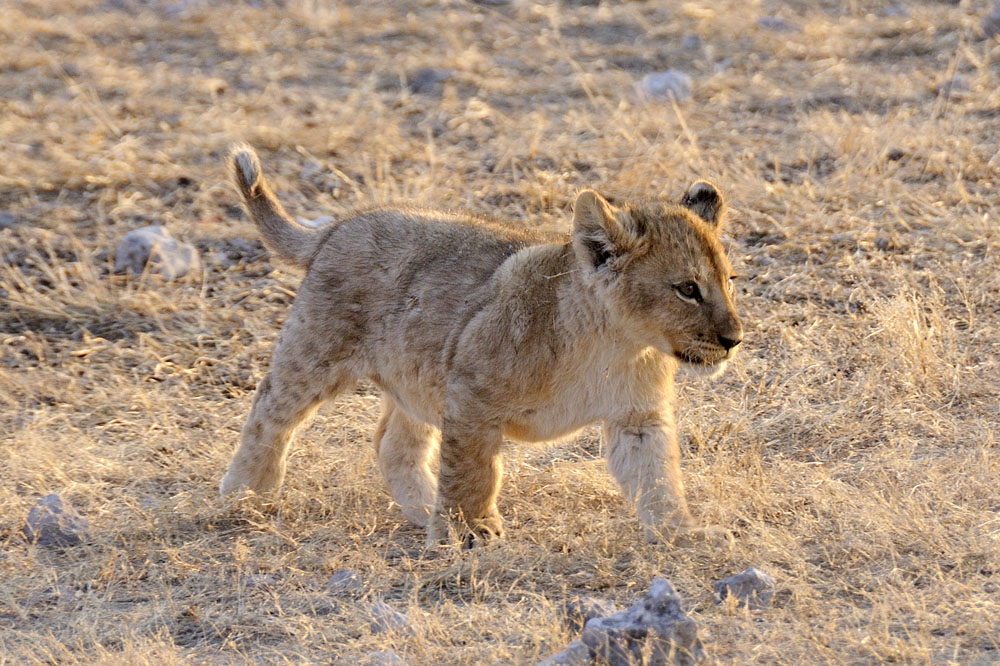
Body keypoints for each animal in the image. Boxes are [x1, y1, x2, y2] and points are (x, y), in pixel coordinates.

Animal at [219, 144, 743, 548]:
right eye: (687, 289)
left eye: (730, 282)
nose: (734, 340)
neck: (617, 345)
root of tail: (337, 227)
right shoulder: (472, 392)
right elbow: (472, 469)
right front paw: (468, 532)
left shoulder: (638, 417)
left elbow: (658, 479)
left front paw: (682, 534)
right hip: (317, 351)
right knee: (270, 411)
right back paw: (245, 495)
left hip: (419, 377)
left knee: (393, 443)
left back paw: (425, 508)